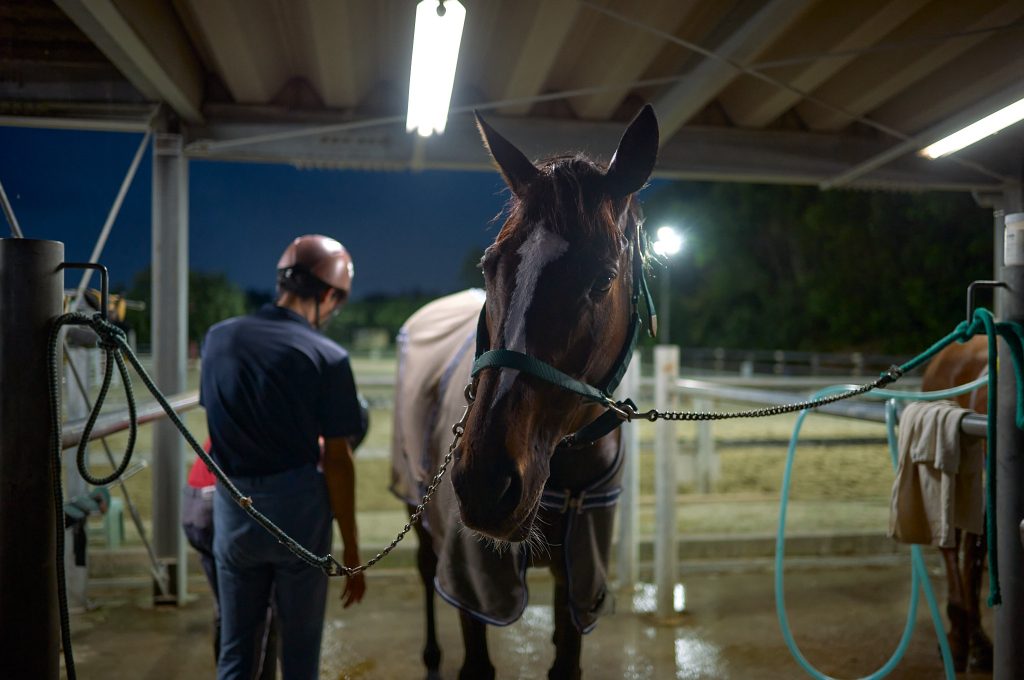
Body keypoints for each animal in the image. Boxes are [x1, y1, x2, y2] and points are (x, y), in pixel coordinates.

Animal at [390, 105, 659, 680]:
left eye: (602, 279)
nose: (485, 482)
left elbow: (566, 659)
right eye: (490, 265)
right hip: (415, 498)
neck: (565, 472)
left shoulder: (581, 577)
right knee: (424, 568)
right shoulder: (473, 579)